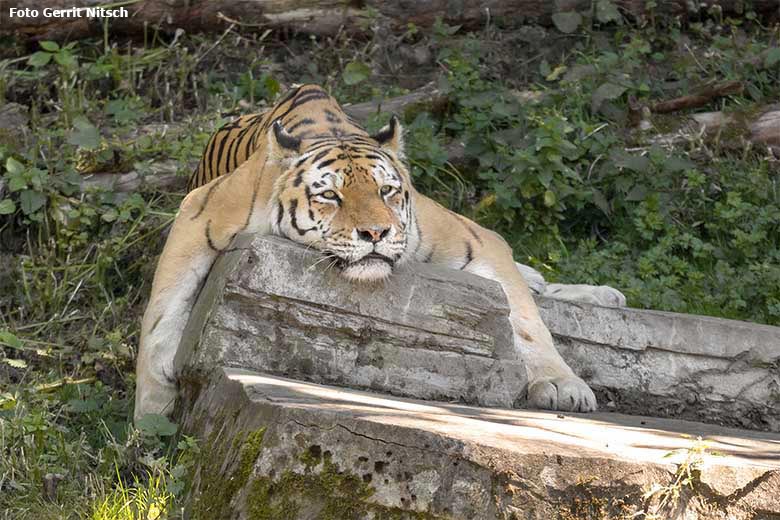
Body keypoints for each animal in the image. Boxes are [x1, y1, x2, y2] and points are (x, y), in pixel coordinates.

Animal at [134, 83, 596, 420]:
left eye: (386, 191)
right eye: (330, 196)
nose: (375, 232)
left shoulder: (476, 237)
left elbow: (526, 319)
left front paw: (563, 385)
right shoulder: (200, 213)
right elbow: (160, 313)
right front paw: (152, 411)